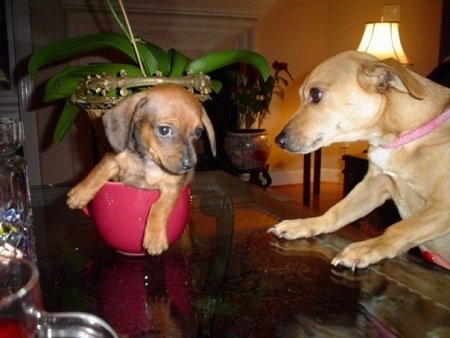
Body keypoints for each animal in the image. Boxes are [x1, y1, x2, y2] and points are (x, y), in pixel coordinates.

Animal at [67, 84, 216, 254]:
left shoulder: (172, 187)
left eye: (198, 132)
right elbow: (97, 173)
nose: (190, 165)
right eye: (164, 130)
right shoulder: (114, 159)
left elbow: (158, 207)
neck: (149, 164)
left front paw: (155, 239)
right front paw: (79, 194)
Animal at [268, 50, 450, 270]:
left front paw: (367, 248)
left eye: (315, 94)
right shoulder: (373, 186)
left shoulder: (443, 206)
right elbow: (335, 212)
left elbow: (398, 229)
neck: (400, 137)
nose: (278, 141)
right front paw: (303, 224)